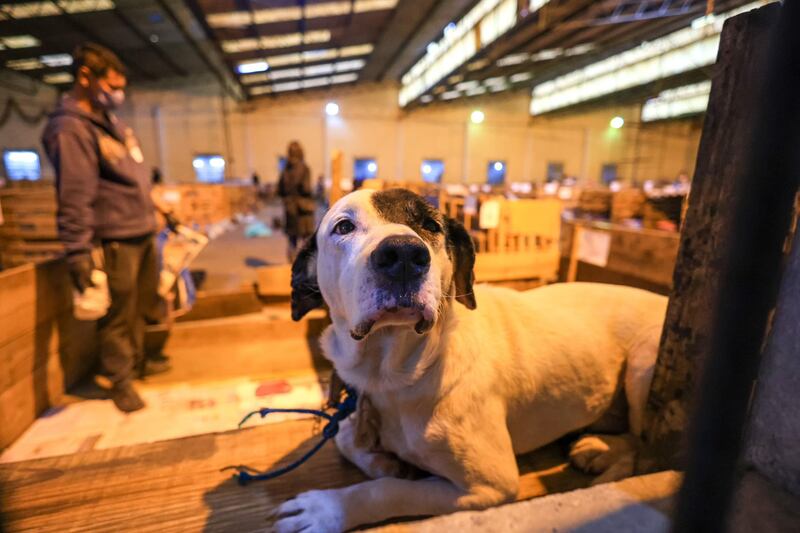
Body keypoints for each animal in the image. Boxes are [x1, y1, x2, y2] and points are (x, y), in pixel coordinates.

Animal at [276, 188, 668, 532]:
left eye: (431, 225)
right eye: (343, 227)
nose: (403, 255)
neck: (397, 375)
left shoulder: (491, 484)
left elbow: (391, 489)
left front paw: (330, 509)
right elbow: (345, 439)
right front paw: (386, 461)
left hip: (646, 359)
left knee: (649, 448)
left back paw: (604, 454)